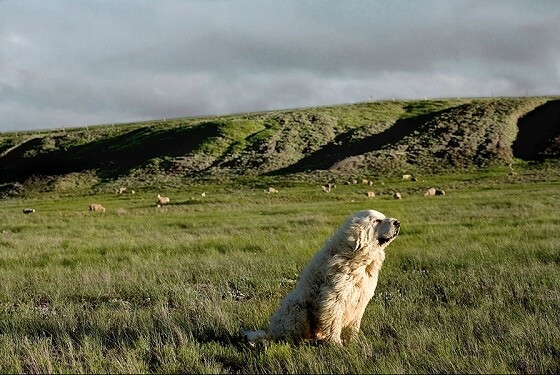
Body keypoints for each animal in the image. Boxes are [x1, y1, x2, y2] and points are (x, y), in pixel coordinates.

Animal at [245, 210, 398, 346]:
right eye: (377, 221)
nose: (397, 222)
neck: (355, 256)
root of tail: (271, 332)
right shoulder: (333, 297)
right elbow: (333, 321)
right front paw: (336, 344)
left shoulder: (360, 298)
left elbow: (354, 323)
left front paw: (354, 341)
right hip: (298, 309)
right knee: (288, 336)